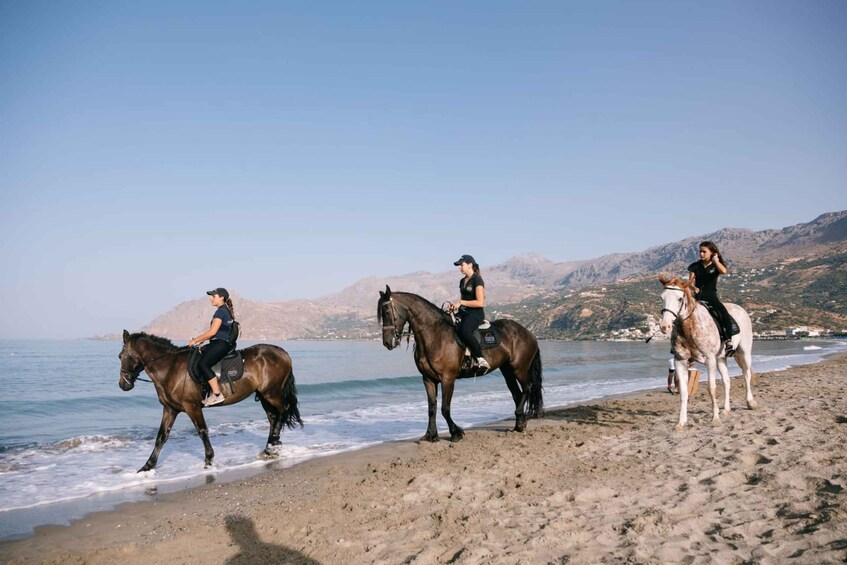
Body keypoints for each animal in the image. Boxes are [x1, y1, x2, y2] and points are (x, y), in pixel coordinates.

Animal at [117, 330, 304, 472]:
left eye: (122, 356)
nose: (123, 384)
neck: (170, 368)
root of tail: (283, 353)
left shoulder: (192, 407)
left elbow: (202, 431)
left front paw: (208, 460)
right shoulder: (170, 409)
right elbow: (161, 437)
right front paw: (147, 466)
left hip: (272, 393)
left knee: (283, 411)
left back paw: (274, 443)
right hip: (265, 395)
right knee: (273, 417)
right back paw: (269, 448)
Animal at [378, 286, 544, 440]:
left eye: (386, 311)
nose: (387, 342)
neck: (435, 336)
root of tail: (529, 333)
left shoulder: (448, 379)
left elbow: (445, 408)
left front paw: (456, 432)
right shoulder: (428, 379)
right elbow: (432, 408)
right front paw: (430, 435)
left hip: (519, 369)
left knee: (527, 388)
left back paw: (519, 418)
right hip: (507, 371)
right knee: (517, 394)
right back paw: (519, 424)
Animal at [660, 274, 760, 428]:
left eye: (680, 298)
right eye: (662, 297)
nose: (665, 326)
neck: (690, 327)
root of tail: (741, 309)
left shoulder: (710, 360)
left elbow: (711, 388)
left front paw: (715, 419)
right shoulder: (680, 361)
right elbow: (683, 392)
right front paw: (681, 423)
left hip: (744, 352)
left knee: (746, 374)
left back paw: (750, 402)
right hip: (721, 359)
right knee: (726, 381)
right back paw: (726, 410)